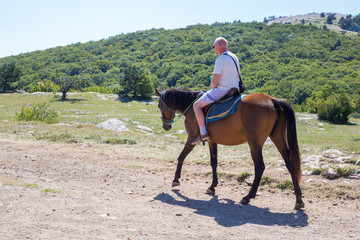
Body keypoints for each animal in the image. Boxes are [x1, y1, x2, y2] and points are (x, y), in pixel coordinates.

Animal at [155, 88, 304, 210]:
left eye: (159, 105)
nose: (165, 126)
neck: (191, 105)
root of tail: (272, 100)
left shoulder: (192, 138)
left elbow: (181, 156)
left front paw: (176, 179)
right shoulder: (212, 141)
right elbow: (213, 162)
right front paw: (212, 186)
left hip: (255, 143)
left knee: (260, 167)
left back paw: (248, 196)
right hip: (278, 139)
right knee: (290, 165)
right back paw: (298, 200)